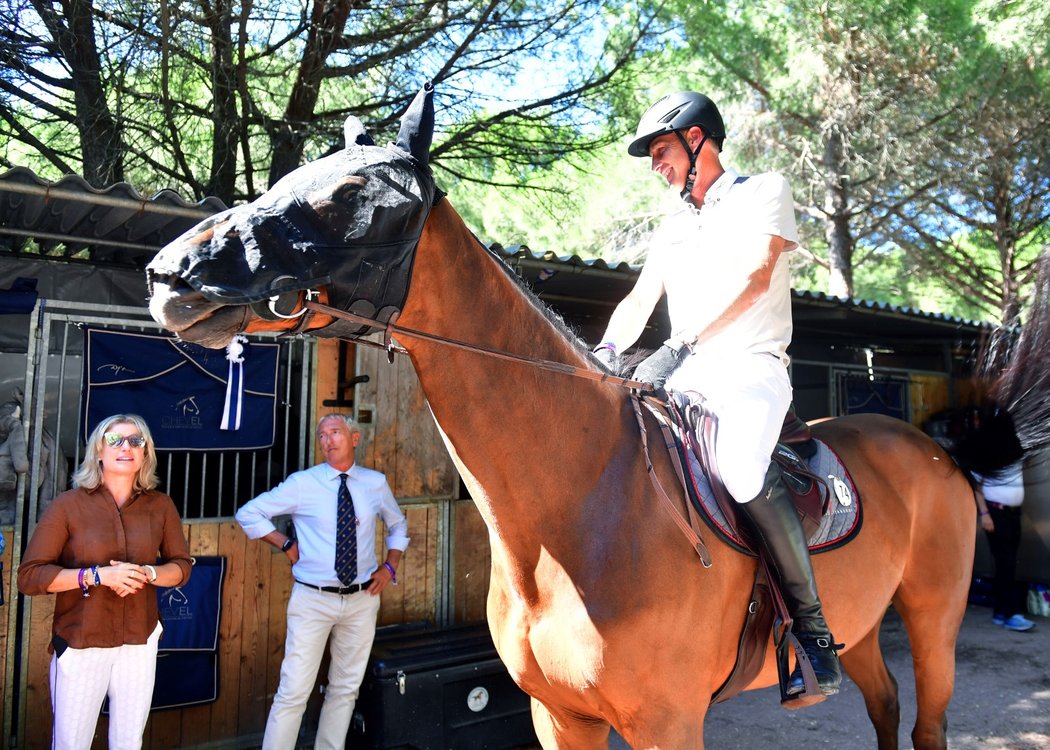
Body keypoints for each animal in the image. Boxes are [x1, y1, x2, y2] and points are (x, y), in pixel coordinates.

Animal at [145, 83, 974, 747]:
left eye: (350, 193)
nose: (170, 274)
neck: (579, 513)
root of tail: (929, 452)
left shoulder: (668, 723)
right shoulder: (560, 716)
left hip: (932, 618)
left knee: (925, 718)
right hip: (866, 627)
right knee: (885, 706)